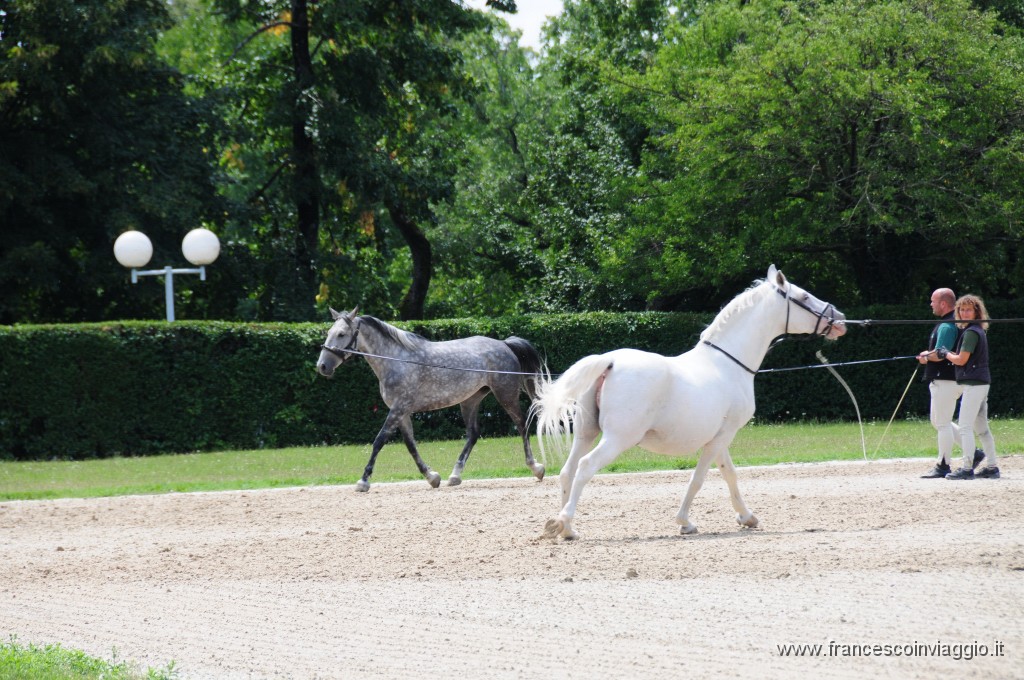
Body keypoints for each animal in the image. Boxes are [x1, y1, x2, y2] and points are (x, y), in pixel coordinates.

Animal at [317, 307, 544, 489]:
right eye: (329, 332)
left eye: (341, 334)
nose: (322, 366)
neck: (396, 360)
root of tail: (504, 344)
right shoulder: (402, 412)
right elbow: (410, 445)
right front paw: (432, 477)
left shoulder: (398, 409)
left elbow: (379, 440)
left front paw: (363, 481)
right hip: (470, 400)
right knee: (473, 433)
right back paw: (454, 476)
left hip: (505, 394)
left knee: (521, 424)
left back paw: (536, 467)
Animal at [532, 264, 843, 536]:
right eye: (803, 297)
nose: (839, 319)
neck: (728, 363)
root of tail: (610, 362)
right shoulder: (723, 436)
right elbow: (699, 478)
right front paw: (685, 522)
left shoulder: (720, 436)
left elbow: (729, 473)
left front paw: (747, 517)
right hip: (618, 438)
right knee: (585, 467)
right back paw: (563, 524)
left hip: (586, 432)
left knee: (567, 472)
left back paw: (568, 529)